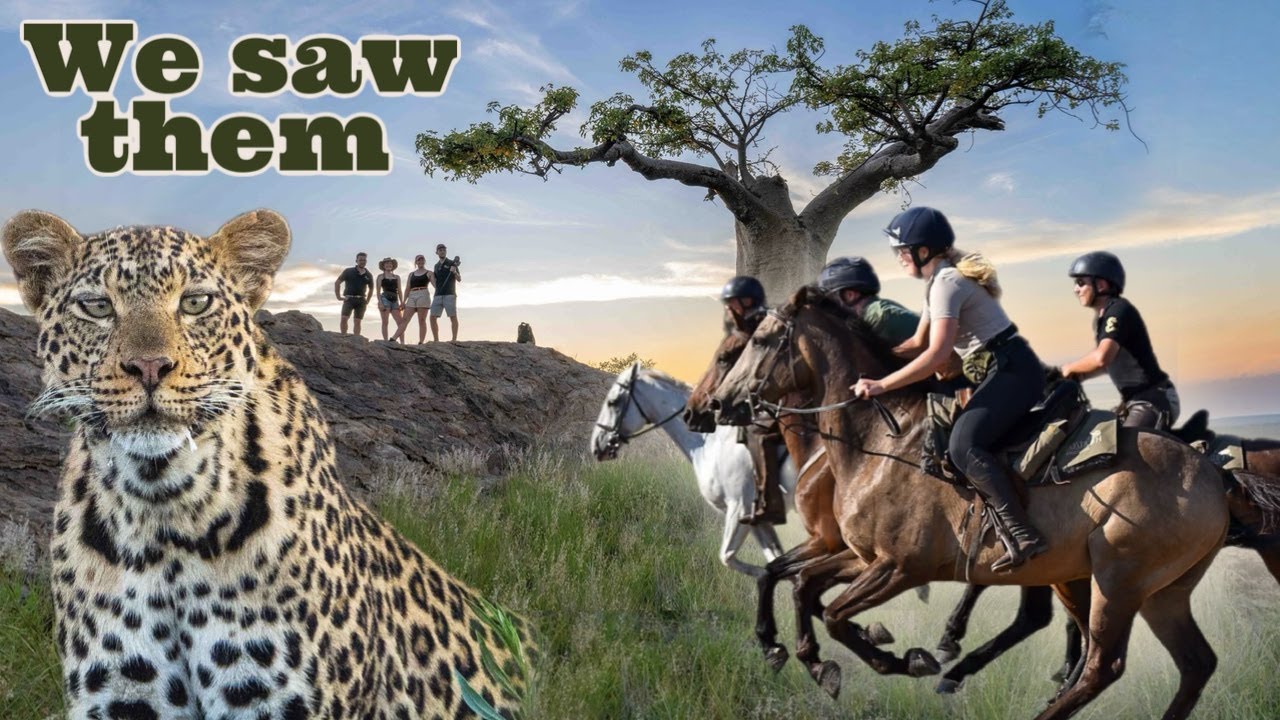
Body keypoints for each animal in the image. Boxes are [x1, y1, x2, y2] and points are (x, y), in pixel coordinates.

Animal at [590, 363, 795, 578]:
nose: (596, 445)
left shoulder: (740, 507)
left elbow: (729, 557)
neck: (710, 440)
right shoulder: (756, 520)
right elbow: (775, 560)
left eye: (612, 402)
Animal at [711, 287, 1241, 720]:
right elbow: (801, 585)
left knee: (1101, 664)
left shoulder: (900, 567)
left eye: (760, 342)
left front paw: (900, 659)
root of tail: (1211, 473)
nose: (716, 405)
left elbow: (835, 613)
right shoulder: (861, 556)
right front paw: (813, 657)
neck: (879, 440)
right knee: (1194, 663)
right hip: (1156, 593)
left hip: (1118, 584)